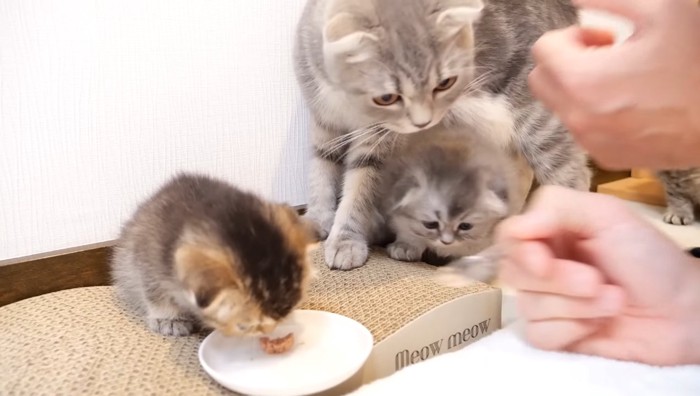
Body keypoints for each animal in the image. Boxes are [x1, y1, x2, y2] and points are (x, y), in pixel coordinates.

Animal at [292, 0, 592, 270]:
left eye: (445, 83)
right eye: (387, 97)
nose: (422, 121)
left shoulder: (377, 141)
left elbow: (358, 192)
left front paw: (345, 239)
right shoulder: (325, 124)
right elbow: (321, 173)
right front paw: (318, 219)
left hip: (538, 127)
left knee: (575, 178)